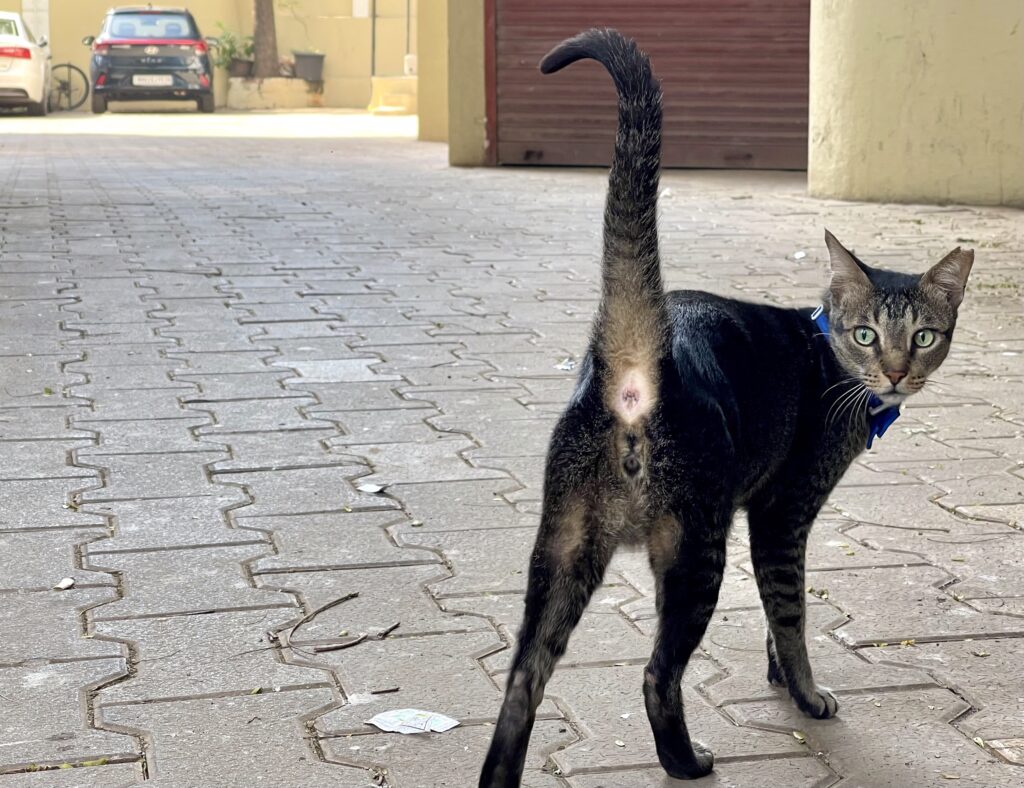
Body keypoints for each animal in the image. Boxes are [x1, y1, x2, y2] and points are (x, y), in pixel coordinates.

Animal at [479, 27, 974, 781]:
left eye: (924, 336)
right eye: (866, 334)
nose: (894, 374)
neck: (826, 354)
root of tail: (636, 367)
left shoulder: (770, 519)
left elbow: (776, 609)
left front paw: (778, 674)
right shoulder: (782, 512)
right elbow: (791, 611)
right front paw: (806, 695)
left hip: (562, 547)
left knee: (520, 684)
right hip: (695, 547)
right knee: (657, 674)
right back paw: (687, 762)